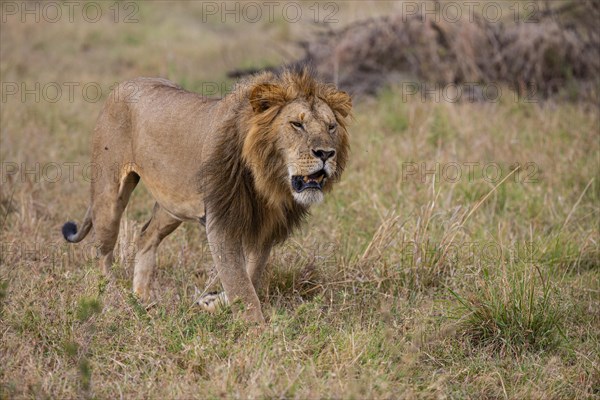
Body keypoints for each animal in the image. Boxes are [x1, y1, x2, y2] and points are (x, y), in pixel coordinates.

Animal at [62, 67, 352, 324]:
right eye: (296, 124)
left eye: (331, 127)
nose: (326, 153)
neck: (269, 180)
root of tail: (124, 84)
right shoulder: (221, 222)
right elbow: (240, 284)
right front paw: (258, 333)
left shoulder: (264, 228)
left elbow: (250, 275)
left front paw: (212, 302)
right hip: (109, 194)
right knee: (102, 254)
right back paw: (115, 300)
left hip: (172, 205)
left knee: (145, 236)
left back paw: (142, 299)